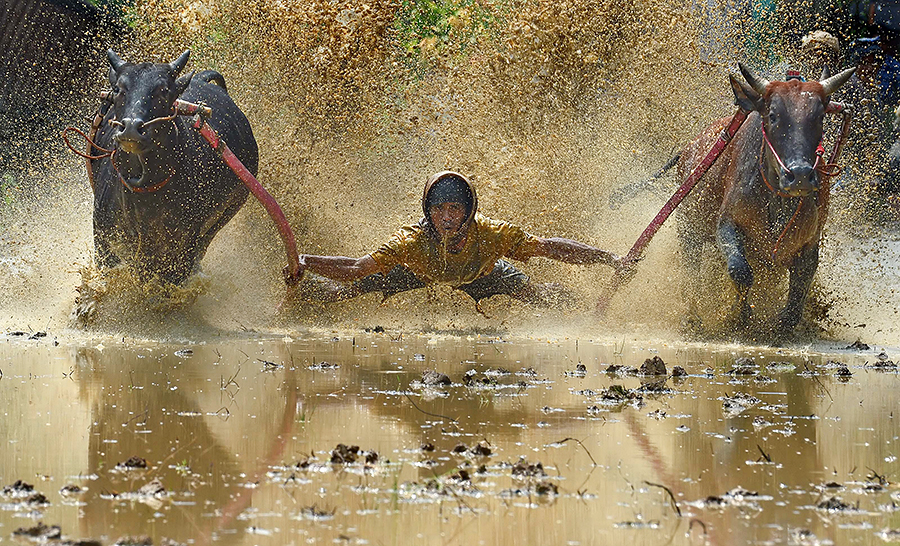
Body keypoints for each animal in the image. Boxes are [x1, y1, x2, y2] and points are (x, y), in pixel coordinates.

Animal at [90, 50, 257, 285]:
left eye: (163, 90)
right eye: (119, 89)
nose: (131, 128)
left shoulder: (181, 252)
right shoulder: (104, 241)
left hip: (228, 213)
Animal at [677, 63, 855, 340]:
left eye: (819, 116)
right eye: (772, 115)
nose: (800, 175)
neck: (778, 201)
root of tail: (688, 150)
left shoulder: (811, 240)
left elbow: (801, 284)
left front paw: (783, 323)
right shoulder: (726, 223)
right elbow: (739, 270)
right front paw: (738, 316)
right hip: (689, 231)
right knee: (691, 272)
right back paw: (692, 316)